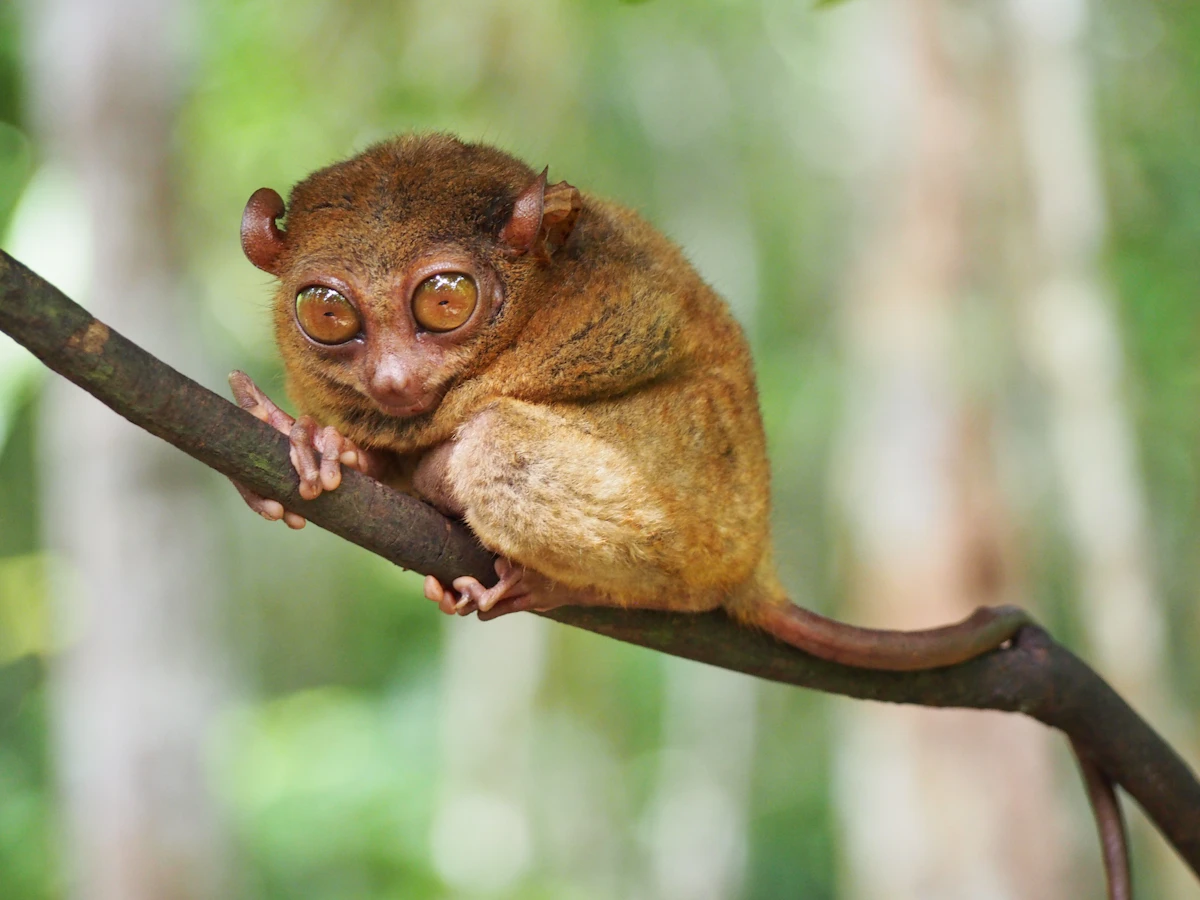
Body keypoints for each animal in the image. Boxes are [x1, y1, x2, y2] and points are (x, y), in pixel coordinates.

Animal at [231, 134, 1128, 897]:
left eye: (445, 301)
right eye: (329, 314)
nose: (390, 381)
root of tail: (757, 562)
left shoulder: (607, 302)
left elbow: (532, 384)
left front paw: (385, 455)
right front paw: (317, 448)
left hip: (702, 503)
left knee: (497, 446)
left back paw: (544, 576)